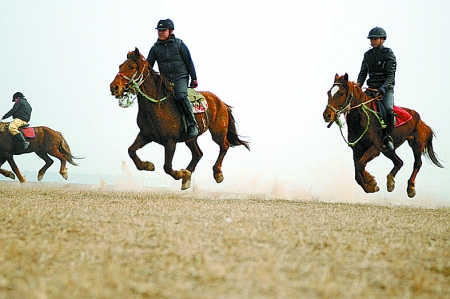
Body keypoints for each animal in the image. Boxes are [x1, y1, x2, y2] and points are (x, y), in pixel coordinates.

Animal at [109, 48, 250, 191]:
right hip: (191, 138)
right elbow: (131, 150)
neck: (157, 105)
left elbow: (167, 167)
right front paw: (148, 165)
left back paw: (217, 173)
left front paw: (180, 173)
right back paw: (187, 178)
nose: (114, 87)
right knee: (198, 154)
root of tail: (222, 103)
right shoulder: (146, 135)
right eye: (120, 66)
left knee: (224, 146)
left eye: (131, 67)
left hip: (218, 132)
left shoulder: (170, 141)